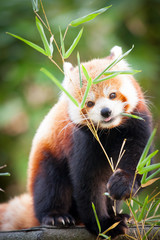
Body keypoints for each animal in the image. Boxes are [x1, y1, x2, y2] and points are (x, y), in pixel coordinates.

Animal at [0, 46, 152, 239]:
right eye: (90, 103)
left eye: (112, 94)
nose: (106, 111)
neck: (110, 132)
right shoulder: (82, 142)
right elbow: (88, 183)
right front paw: (104, 224)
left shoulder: (137, 128)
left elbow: (138, 161)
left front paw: (122, 185)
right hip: (47, 159)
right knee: (50, 186)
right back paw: (56, 216)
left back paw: (118, 214)